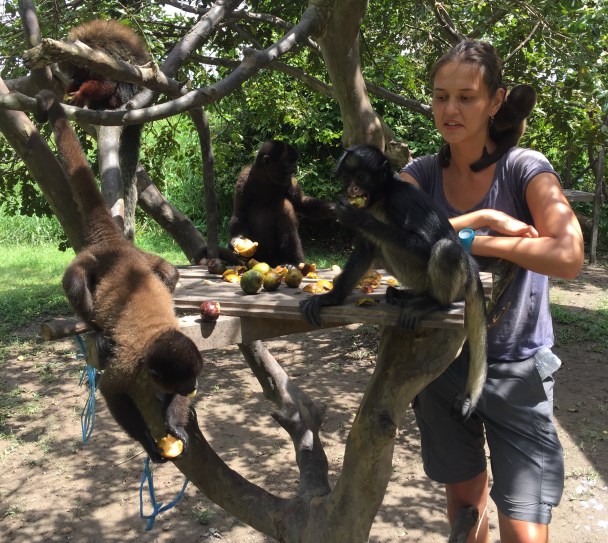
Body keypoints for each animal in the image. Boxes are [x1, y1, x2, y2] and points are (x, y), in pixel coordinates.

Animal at [35, 90, 203, 462]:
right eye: (185, 383)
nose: (194, 387)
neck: (158, 336)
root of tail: (114, 244)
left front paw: (175, 423)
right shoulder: (129, 363)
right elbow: (111, 391)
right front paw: (148, 442)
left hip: (138, 256)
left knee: (168, 272)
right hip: (92, 257)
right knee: (74, 283)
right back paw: (97, 329)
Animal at [58, 19, 153, 240]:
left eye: (77, 69)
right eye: (72, 72)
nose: (74, 77)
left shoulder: (105, 63)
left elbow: (108, 83)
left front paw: (83, 92)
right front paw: (71, 89)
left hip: (129, 94)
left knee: (122, 87)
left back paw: (108, 103)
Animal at [300, 144, 487, 418]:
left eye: (361, 177)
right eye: (347, 178)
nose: (352, 190)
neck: (381, 199)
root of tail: (471, 266)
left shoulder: (402, 198)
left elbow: (426, 244)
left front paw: (356, 218)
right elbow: (366, 248)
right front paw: (330, 297)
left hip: (457, 274)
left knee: (446, 247)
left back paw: (433, 302)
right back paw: (408, 295)